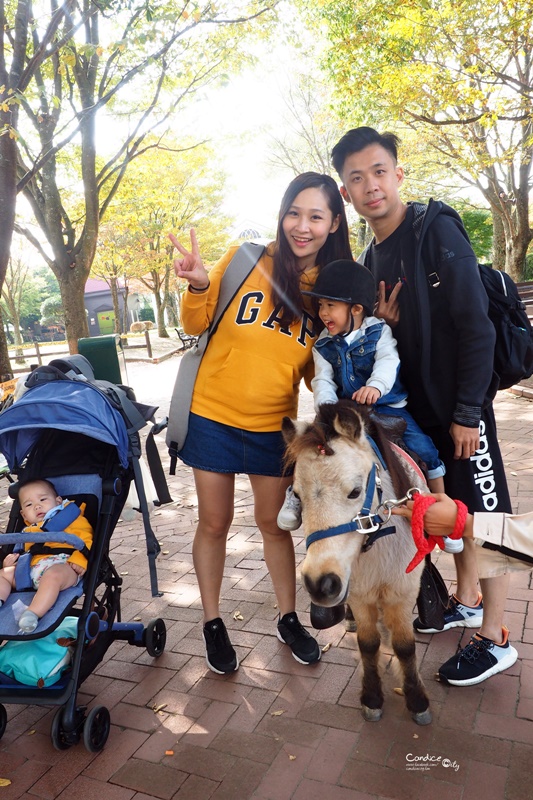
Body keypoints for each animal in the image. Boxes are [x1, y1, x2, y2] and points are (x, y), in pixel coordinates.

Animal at [280, 400, 430, 724]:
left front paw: (417, 701)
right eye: (296, 495)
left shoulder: (403, 591)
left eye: (355, 491)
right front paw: (372, 698)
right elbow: (368, 643)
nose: (320, 583)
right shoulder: (359, 593)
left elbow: (404, 646)